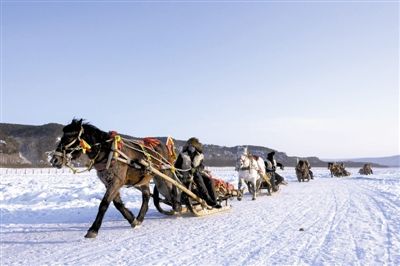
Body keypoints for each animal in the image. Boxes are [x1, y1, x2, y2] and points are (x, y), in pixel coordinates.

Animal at [50, 119, 179, 239]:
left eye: (69, 137)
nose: (54, 160)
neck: (108, 152)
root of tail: (163, 145)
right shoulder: (109, 182)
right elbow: (117, 204)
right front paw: (132, 219)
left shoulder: (116, 181)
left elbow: (104, 204)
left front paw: (93, 229)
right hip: (144, 177)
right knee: (146, 195)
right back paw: (140, 217)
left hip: (165, 172)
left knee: (172, 187)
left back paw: (177, 206)